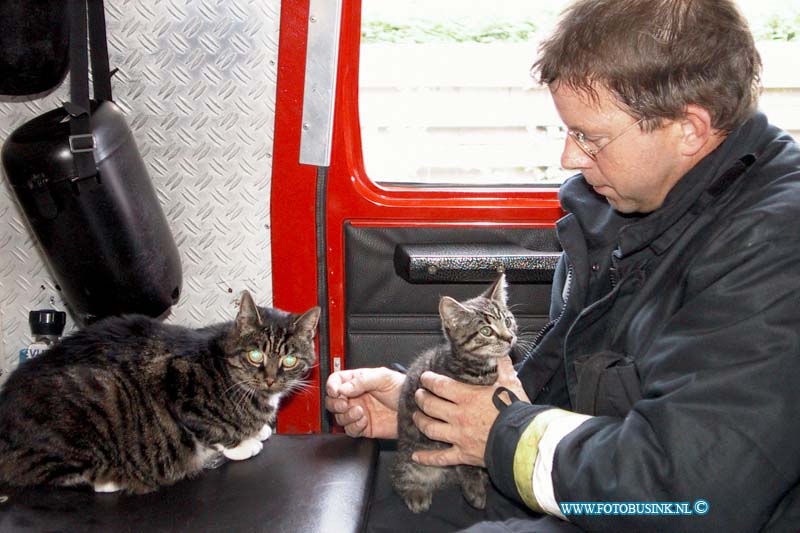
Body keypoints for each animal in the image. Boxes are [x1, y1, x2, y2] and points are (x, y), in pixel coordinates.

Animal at [0, 288, 318, 492]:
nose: (271, 380)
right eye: (255, 355)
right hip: (96, 398)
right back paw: (110, 480)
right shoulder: (178, 386)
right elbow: (213, 429)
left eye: (289, 360)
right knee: (39, 472)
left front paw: (258, 430)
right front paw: (243, 444)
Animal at [390, 274, 516, 512]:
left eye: (508, 321)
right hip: (409, 456)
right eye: (486, 331)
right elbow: (465, 459)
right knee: (399, 475)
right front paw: (474, 488)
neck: (478, 370)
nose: (509, 338)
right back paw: (415, 492)